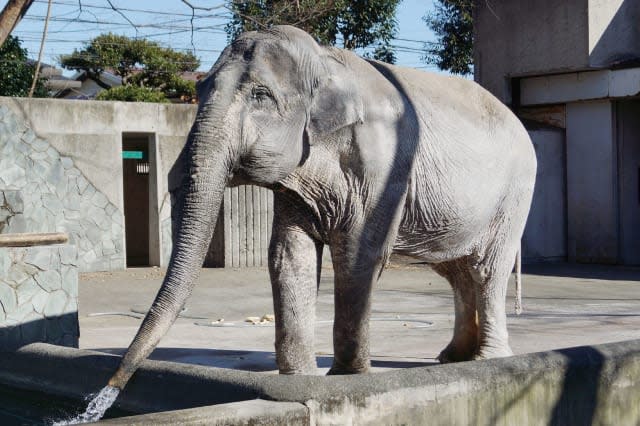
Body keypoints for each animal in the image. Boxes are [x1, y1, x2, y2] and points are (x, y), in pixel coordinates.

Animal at [107, 24, 536, 390]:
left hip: (515, 195)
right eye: (199, 92)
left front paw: (347, 377)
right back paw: (452, 358)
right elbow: (288, 253)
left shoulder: (385, 163)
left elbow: (359, 253)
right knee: (456, 271)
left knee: (486, 270)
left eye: (260, 96)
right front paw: (301, 379)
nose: (112, 385)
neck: (325, 60)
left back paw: (487, 359)